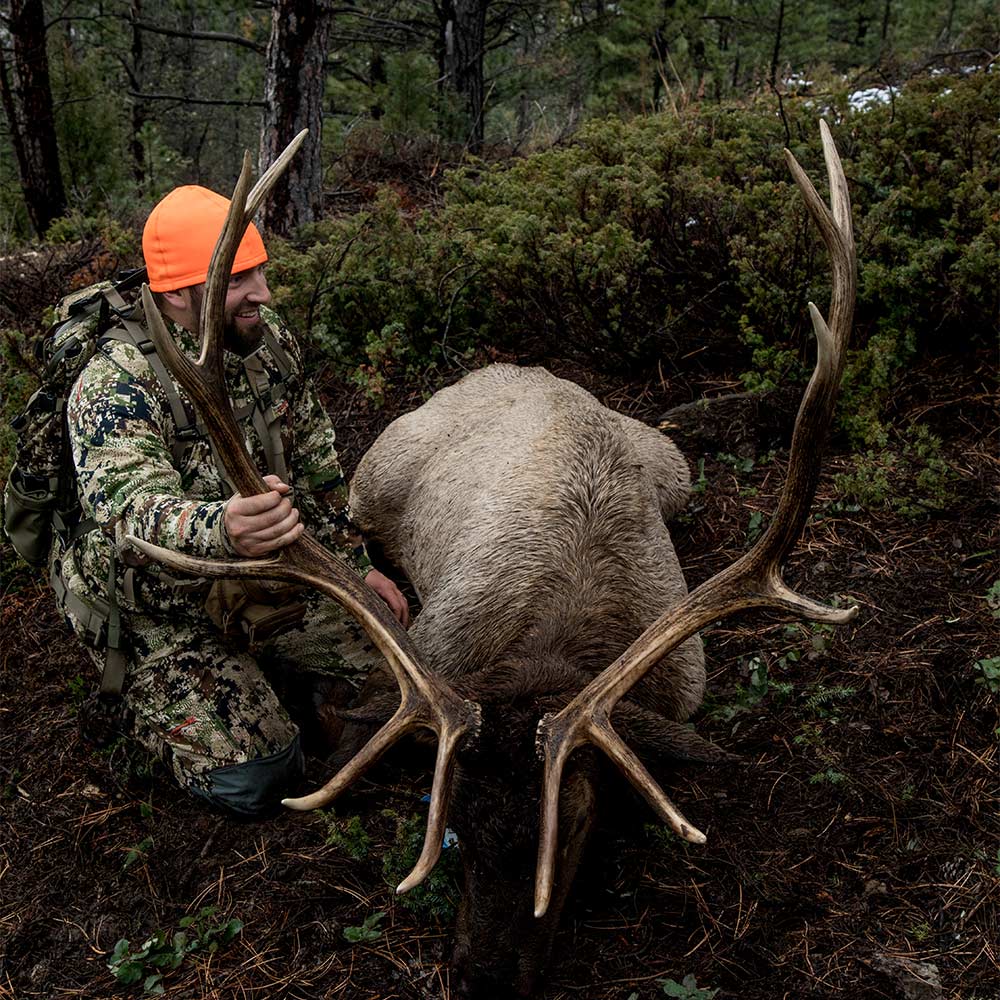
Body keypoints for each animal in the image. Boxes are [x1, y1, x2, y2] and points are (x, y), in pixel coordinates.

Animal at [129, 121, 856, 996]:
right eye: (456, 822)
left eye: (577, 824)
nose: (483, 978)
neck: (556, 638)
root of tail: (511, 366)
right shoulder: (435, 650)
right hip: (375, 475)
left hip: (673, 468)